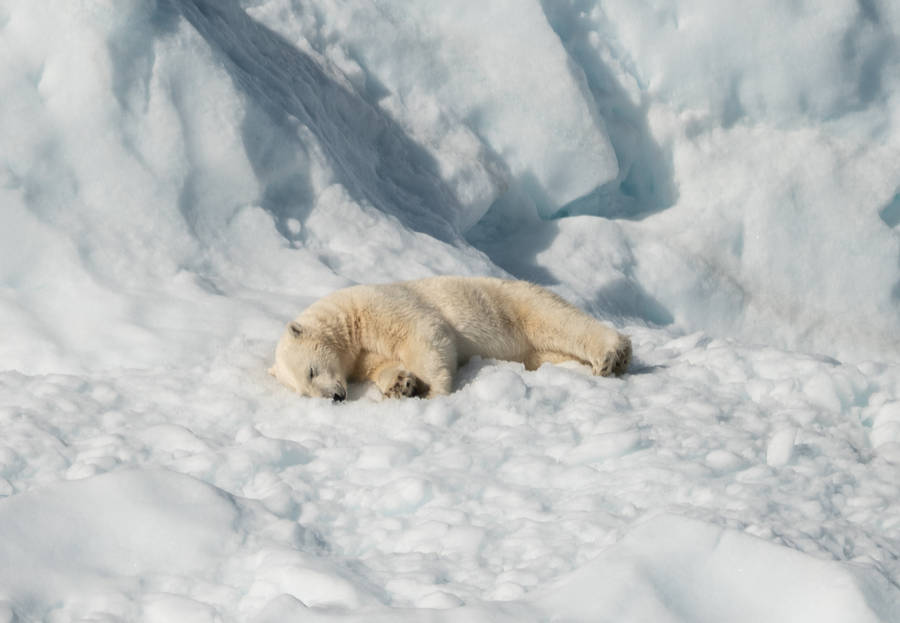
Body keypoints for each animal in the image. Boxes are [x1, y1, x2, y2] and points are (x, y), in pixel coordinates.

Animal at [270, 276, 631, 400]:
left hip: (512, 303)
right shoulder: (360, 357)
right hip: (532, 349)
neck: (347, 320)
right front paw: (401, 385)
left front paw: (430, 391)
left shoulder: (379, 305)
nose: (335, 397)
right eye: (304, 391)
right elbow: (382, 365)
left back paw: (612, 355)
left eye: (311, 371)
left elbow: (424, 333)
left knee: (557, 320)